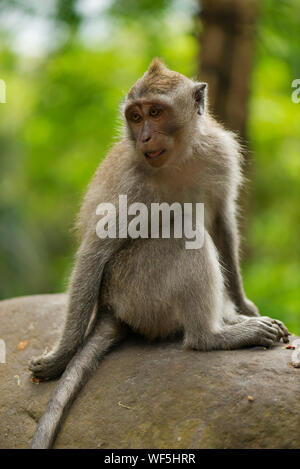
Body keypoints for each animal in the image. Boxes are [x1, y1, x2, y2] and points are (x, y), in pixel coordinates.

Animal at [28, 58, 290, 446]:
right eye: (135, 117)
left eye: (155, 112)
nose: (144, 137)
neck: (178, 159)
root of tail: (110, 308)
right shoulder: (129, 180)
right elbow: (95, 250)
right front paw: (61, 357)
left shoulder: (221, 152)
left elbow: (221, 222)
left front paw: (243, 305)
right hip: (135, 291)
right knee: (183, 232)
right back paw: (212, 336)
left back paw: (229, 320)